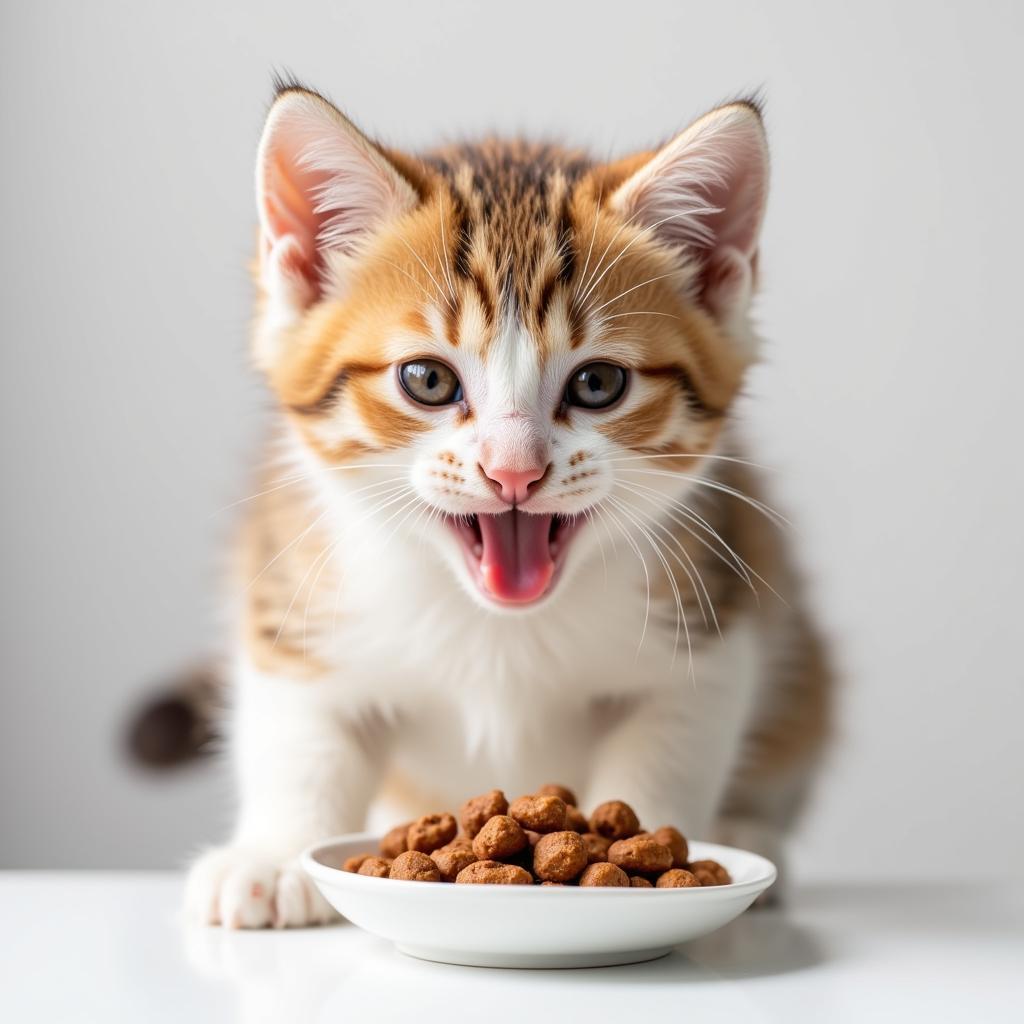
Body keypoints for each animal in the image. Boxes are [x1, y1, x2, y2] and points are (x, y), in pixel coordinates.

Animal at [184, 81, 831, 929]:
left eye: (598, 383)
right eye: (427, 380)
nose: (514, 471)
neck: (498, 633)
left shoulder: (707, 625)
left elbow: (667, 755)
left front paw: (662, 848)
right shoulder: (295, 594)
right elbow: (301, 737)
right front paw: (271, 856)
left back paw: (754, 832)